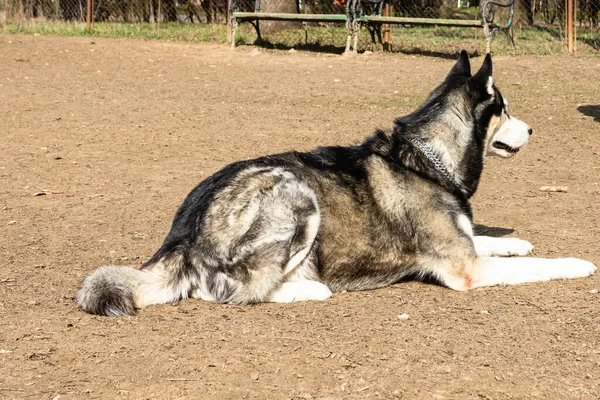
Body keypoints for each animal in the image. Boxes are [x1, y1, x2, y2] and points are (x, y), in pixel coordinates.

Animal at [78, 52, 596, 316]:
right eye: (505, 109)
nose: (532, 130)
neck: (426, 160)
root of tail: (182, 233)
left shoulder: (465, 245)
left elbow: (491, 240)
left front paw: (517, 240)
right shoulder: (466, 269)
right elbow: (538, 266)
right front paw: (577, 263)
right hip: (294, 194)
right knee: (224, 291)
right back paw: (307, 290)